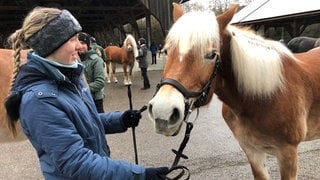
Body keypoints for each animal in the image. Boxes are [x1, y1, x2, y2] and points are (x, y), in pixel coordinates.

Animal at [149, 3, 320, 180]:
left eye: (211, 55)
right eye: (166, 51)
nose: (163, 112)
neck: (263, 98)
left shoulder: (288, 154)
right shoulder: (252, 150)